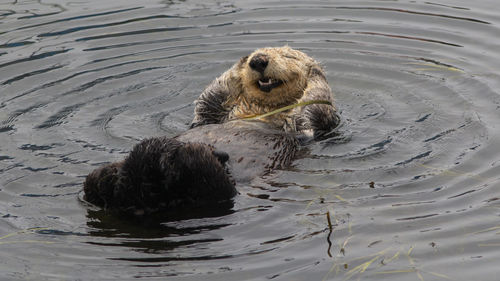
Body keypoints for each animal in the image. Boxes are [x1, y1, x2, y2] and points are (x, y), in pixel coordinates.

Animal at [191, 46, 340, 140]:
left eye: (288, 56)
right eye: (252, 57)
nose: (257, 60)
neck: (265, 109)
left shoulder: (311, 128)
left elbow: (316, 105)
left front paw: (315, 71)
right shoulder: (209, 115)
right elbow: (208, 102)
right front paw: (240, 65)